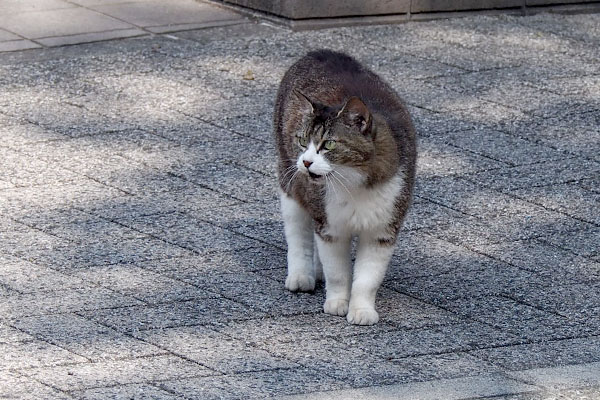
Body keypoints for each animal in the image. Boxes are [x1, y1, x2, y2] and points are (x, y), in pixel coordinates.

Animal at [274, 50, 414, 324]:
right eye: (302, 140)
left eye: (328, 144)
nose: (306, 161)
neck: (354, 184)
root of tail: (322, 51)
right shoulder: (330, 227)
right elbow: (337, 272)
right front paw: (337, 303)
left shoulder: (383, 230)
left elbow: (367, 279)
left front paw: (361, 311)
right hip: (290, 183)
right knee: (298, 233)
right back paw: (301, 275)